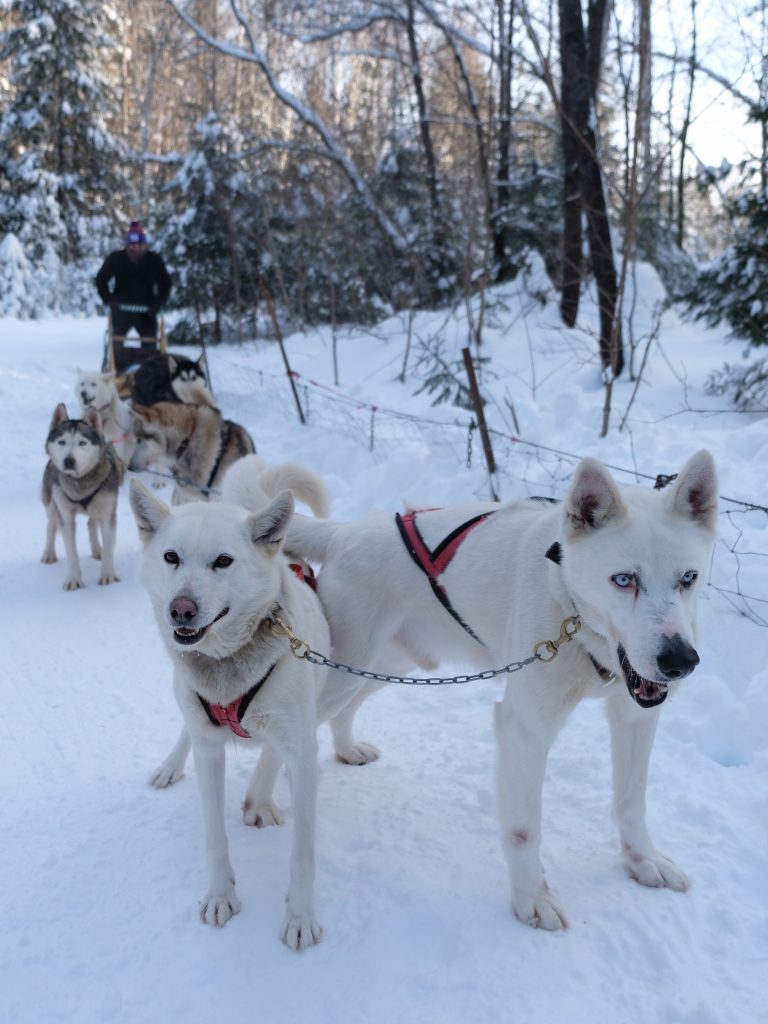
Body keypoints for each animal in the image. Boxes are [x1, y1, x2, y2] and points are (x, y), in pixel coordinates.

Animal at [128, 460, 331, 946]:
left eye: (223, 561)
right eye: (171, 557)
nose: (181, 609)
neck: (228, 668)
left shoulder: (301, 751)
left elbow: (303, 852)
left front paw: (300, 917)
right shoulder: (209, 749)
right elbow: (214, 837)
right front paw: (221, 895)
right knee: (186, 728)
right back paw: (170, 766)